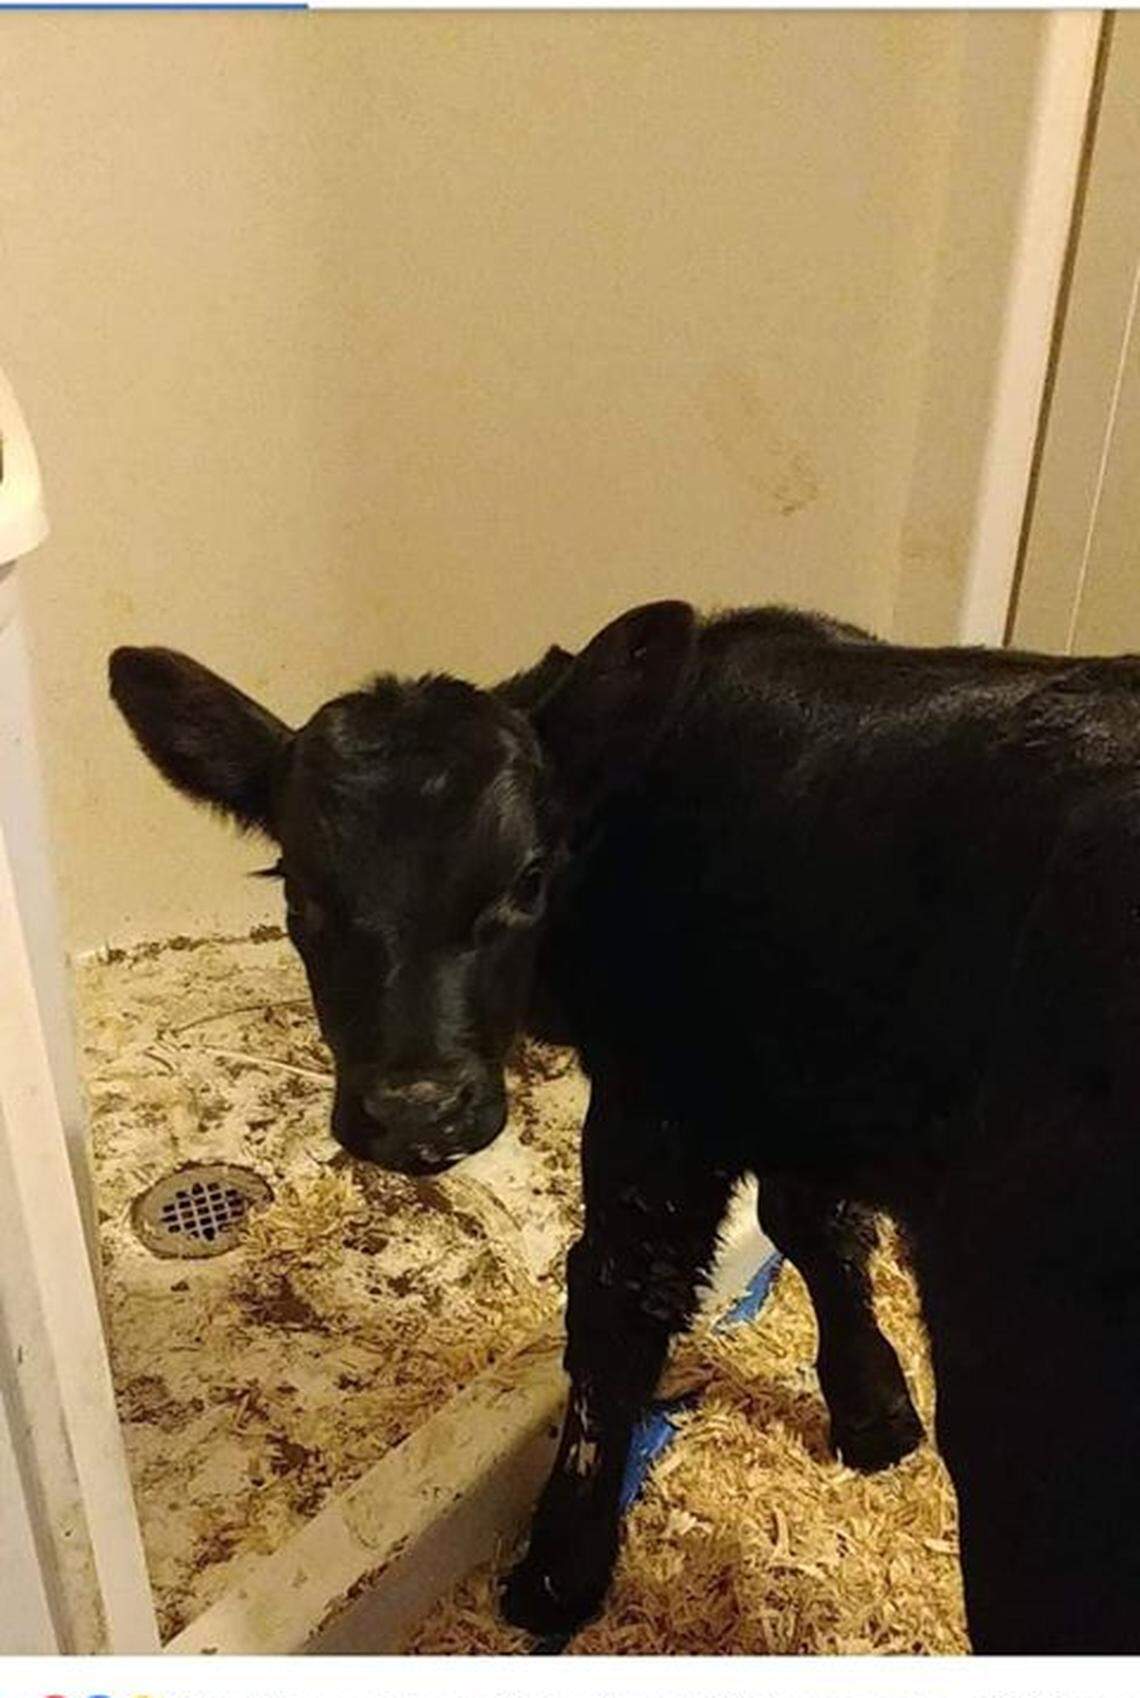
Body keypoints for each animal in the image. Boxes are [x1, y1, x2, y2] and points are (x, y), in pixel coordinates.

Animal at [109, 602, 1140, 1652]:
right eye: (299, 890)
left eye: (529, 877)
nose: (417, 1111)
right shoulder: (796, 1076)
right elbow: (816, 1222)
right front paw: (875, 1410)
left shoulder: (660, 1099)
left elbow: (618, 1306)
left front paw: (558, 1569)